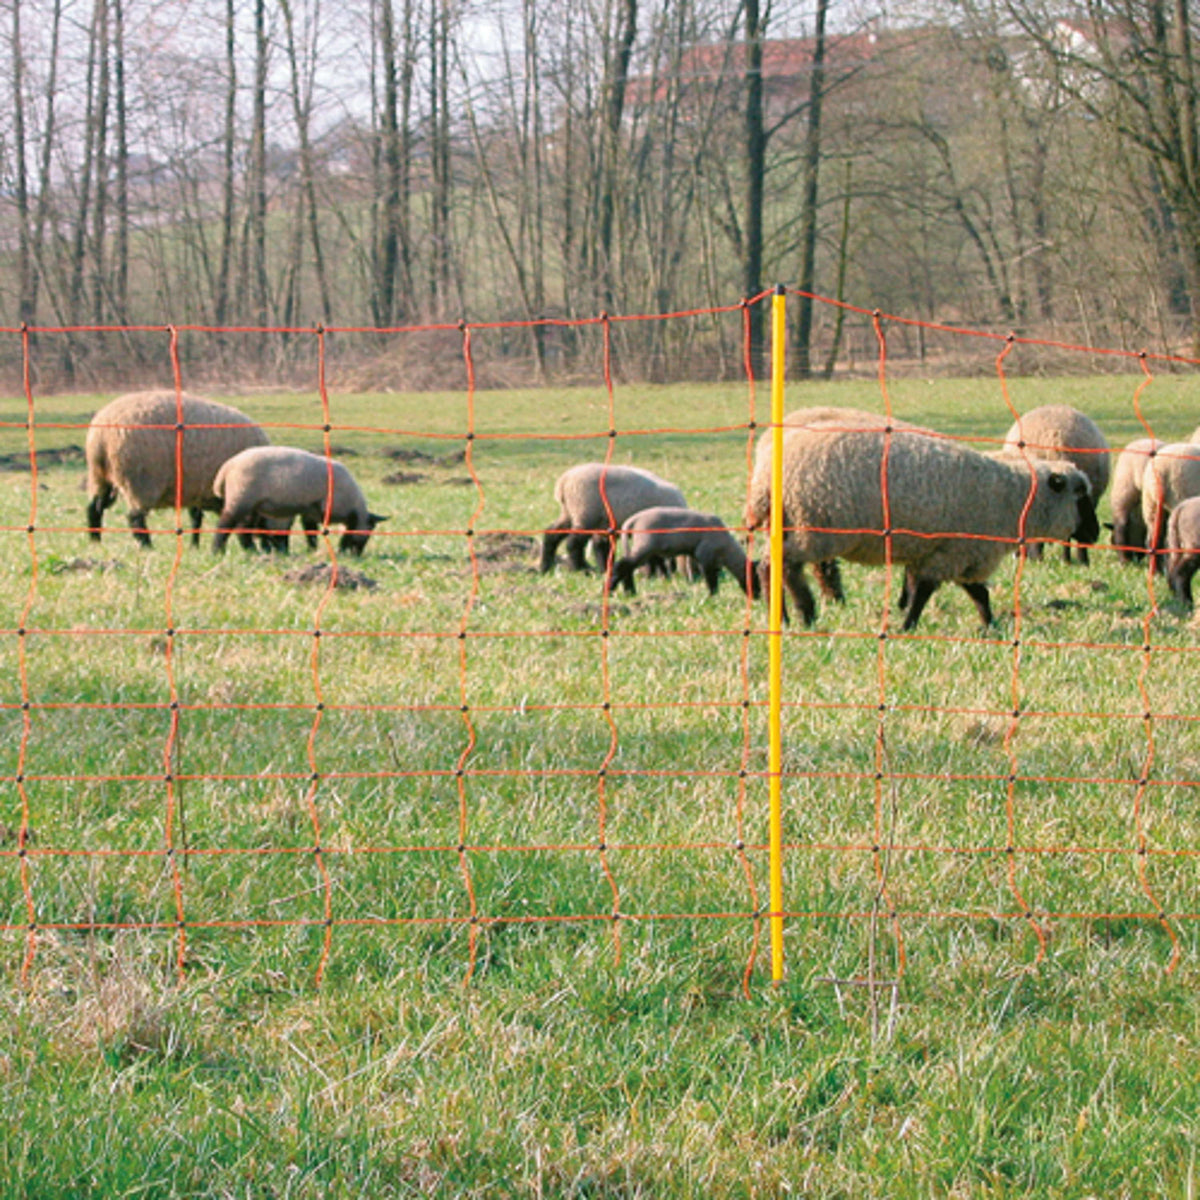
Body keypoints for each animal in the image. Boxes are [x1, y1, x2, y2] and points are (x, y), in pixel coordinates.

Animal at [85, 390, 270, 547]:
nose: (269, 548)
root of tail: (102, 436)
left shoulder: (197, 488)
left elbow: (196, 518)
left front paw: (194, 546)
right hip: (140, 482)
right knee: (135, 518)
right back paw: (147, 547)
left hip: (99, 476)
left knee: (94, 508)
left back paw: (95, 541)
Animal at [211, 446, 387, 556]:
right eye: (369, 532)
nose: (357, 554)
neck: (353, 504)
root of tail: (227, 467)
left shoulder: (310, 511)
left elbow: (311, 532)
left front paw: (312, 550)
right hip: (241, 496)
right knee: (226, 523)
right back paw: (217, 551)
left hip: (253, 503)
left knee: (244, 527)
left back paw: (251, 550)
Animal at [541, 463, 686, 573]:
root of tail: (564, 482)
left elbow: (602, 548)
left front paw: (605, 569)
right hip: (586, 512)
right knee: (573, 543)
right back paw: (582, 569)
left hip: (570, 513)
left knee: (551, 535)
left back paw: (545, 567)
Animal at [610, 507, 760, 598]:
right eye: (755, 577)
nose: (757, 597)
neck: (726, 550)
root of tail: (632, 520)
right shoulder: (705, 556)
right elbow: (711, 578)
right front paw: (713, 595)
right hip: (645, 545)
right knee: (622, 565)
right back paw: (612, 589)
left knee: (627, 568)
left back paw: (629, 591)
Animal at [760, 424, 1097, 630]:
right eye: (1080, 496)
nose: (1094, 534)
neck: (1013, 497)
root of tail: (766, 481)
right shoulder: (955, 551)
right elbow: (925, 591)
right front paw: (908, 626)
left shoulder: (959, 554)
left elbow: (977, 594)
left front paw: (990, 625)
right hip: (815, 527)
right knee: (783, 566)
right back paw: (803, 612)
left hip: (796, 524)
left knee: (768, 565)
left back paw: (782, 615)